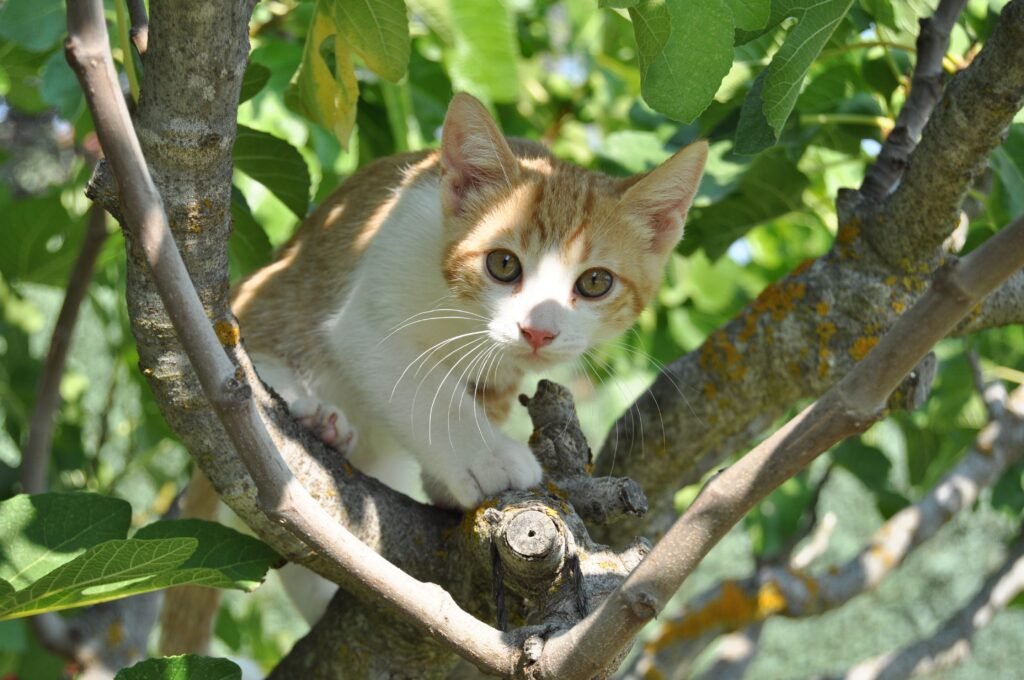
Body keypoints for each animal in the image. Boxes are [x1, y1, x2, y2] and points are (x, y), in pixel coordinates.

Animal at [233, 91, 708, 510]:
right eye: (503, 263)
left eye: (595, 282)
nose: (538, 331)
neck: (462, 315)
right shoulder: (384, 277)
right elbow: (421, 386)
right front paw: (487, 455)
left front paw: (446, 480)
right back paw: (313, 414)